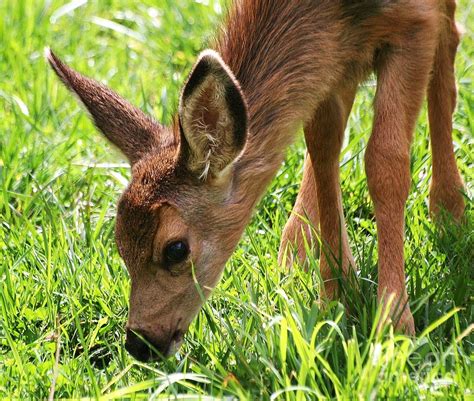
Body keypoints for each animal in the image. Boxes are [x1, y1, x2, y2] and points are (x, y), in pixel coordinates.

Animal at [47, 0, 462, 360]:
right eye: (118, 243)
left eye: (176, 249)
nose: (141, 342)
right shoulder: (330, 51)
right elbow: (323, 143)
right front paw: (334, 296)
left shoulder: (413, 22)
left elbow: (385, 161)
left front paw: (394, 324)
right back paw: (298, 246)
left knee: (450, 40)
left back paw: (449, 210)